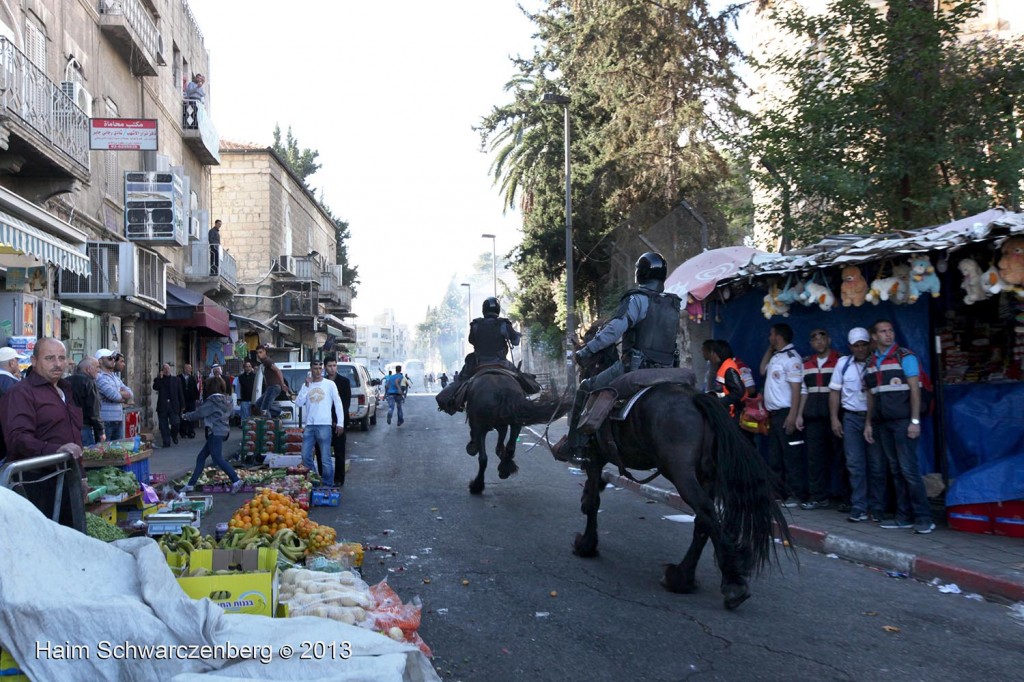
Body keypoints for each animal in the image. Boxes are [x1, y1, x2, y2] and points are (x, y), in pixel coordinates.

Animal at [577, 337, 790, 606]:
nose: (582, 371)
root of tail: (696, 400)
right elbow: (593, 493)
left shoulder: (595, 456)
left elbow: (594, 500)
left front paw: (586, 544)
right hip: (707, 476)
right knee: (703, 521)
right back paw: (682, 577)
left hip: (681, 473)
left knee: (706, 512)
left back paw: (732, 583)